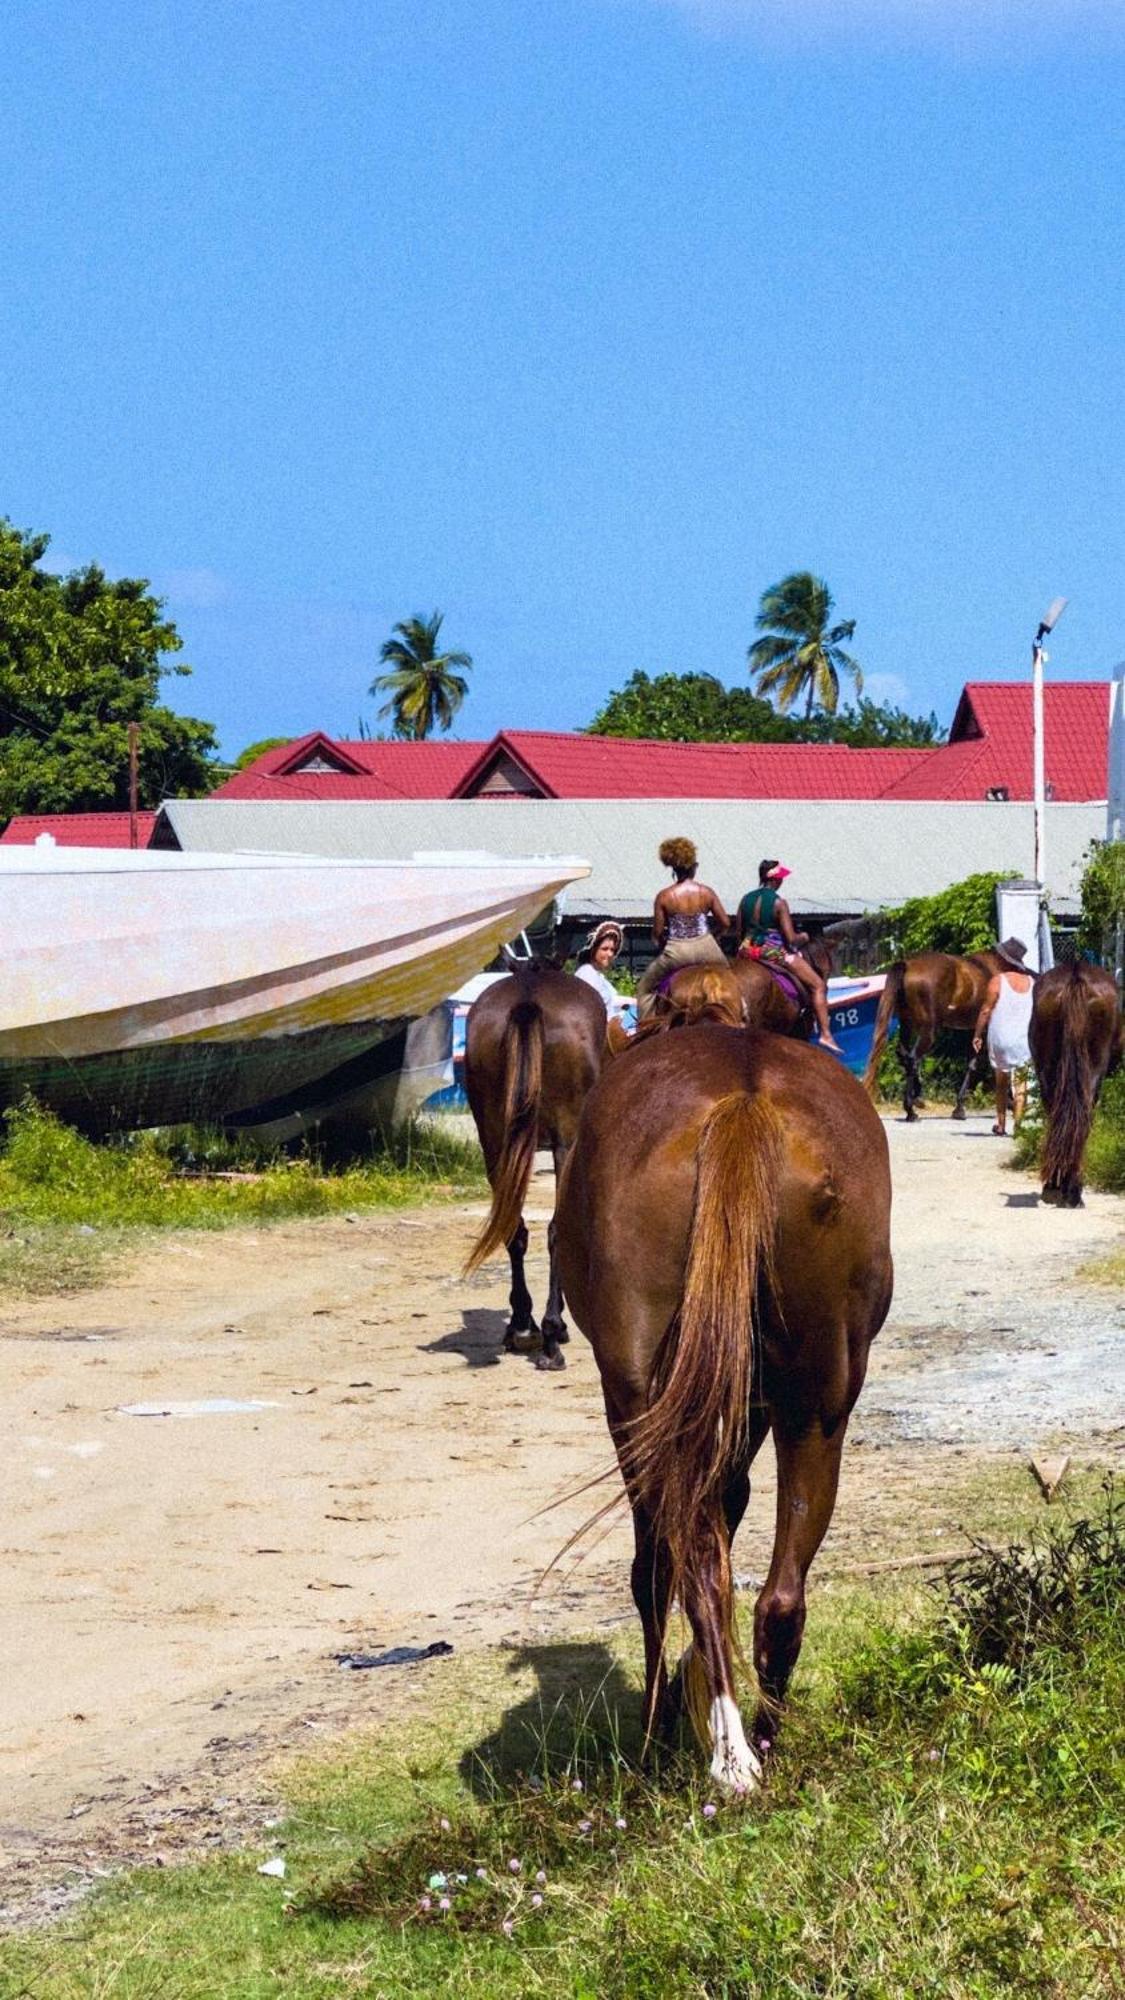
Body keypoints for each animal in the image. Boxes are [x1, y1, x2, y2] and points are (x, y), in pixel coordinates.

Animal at [462, 968, 608, 1376]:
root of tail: (528, 999)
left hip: (495, 1141)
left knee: (513, 1227)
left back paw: (522, 1324)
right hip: (565, 1140)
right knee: (557, 1228)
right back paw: (551, 1335)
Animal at [556, 1024, 888, 1792]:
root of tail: (743, 1106)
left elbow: (661, 1565)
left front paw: (664, 1717)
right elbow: (731, 1507)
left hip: (639, 1403)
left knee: (680, 1567)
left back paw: (723, 1750)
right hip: (816, 1408)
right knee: (777, 1597)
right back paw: (756, 1736)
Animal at [856, 948, 996, 1120]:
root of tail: (908, 964)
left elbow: (975, 1063)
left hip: (908, 1023)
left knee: (904, 1055)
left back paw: (916, 1100)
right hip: (929, 1030)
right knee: (912, 1058)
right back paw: (911, 1109)